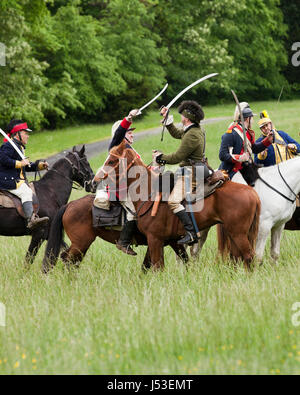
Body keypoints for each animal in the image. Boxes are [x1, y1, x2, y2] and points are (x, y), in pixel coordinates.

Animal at [87, 141, 260, 270]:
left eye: (111, 161)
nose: (94, 182)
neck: (148, 192)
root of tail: (253, 194)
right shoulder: (171, 241)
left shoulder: (155, 240)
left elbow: (157, 267)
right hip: (234, 233)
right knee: (240, 258)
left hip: (238, 234)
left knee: (249, 257)